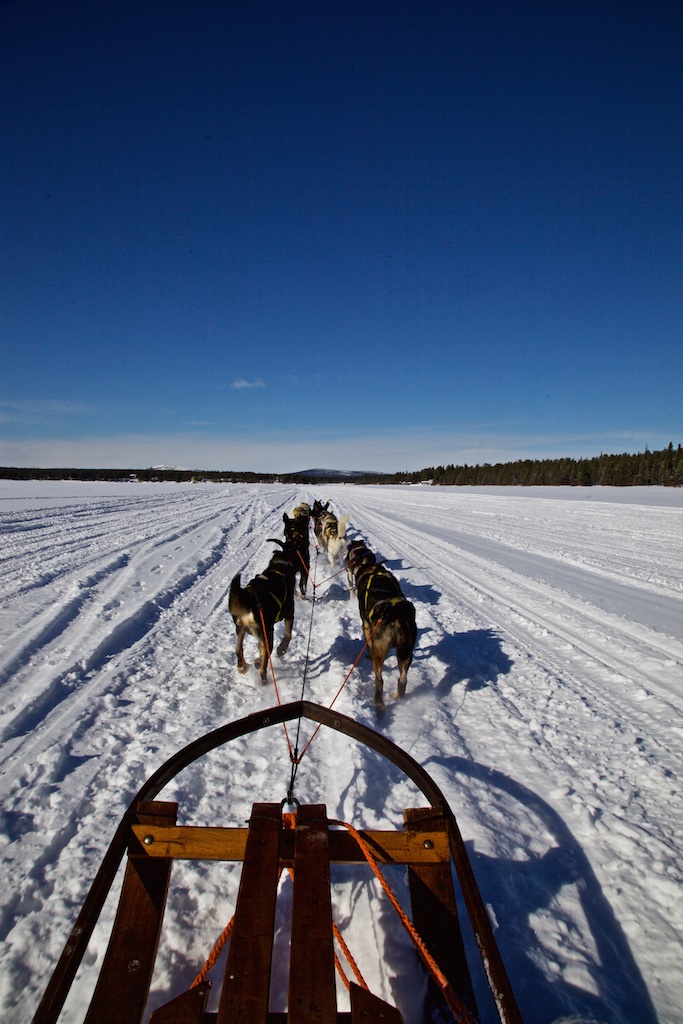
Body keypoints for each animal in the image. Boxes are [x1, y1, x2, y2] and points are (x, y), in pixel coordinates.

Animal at [228, 540, 296, 684]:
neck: (280, 567)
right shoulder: (289, 615)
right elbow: (288, 635)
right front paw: (282, 649)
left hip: (242, 629)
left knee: (238, 648)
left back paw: (243, 667)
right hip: (268, 634)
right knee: (265, 661)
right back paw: (263, 676)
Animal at [352, 557, 417, 708]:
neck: (373, 570)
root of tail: (397, 615)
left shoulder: (366, 626)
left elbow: (368, 643)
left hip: (379, 651)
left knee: (379, 679)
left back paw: (378, 702)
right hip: (406, 653)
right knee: (403, 678)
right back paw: (398, 697)